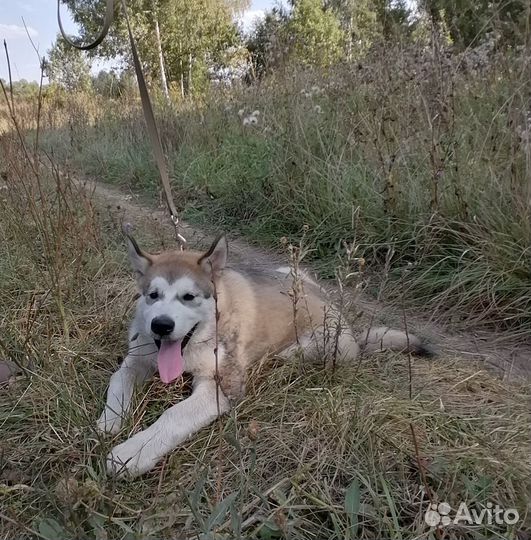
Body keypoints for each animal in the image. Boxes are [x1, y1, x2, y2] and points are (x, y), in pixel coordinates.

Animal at [98, 232, 432, 476]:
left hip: (313, 346)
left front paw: (131, 452)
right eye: (152, 295)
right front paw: (110, 420)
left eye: (188, 297)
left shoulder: (223, 387)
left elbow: (174, 415)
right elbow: (118, 379)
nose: (161, 325)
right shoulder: (137, 359)